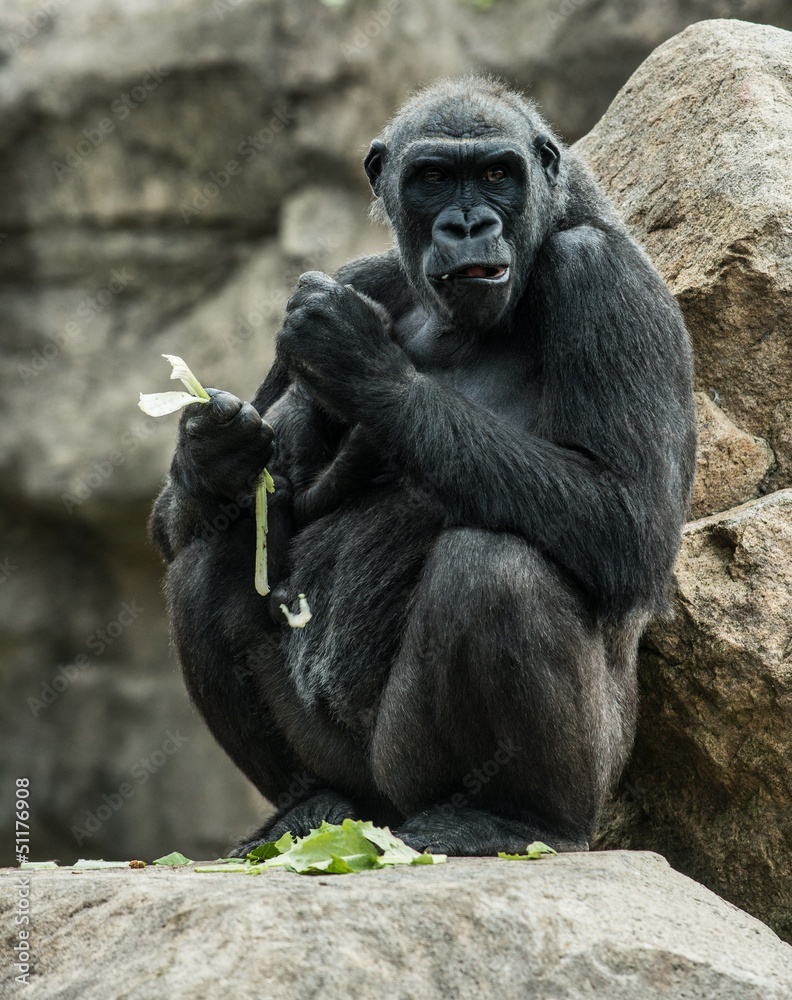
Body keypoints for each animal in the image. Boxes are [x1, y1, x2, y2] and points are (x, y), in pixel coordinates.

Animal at [148, 76, 692, 860]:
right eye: (432, 179)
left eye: (496, 174)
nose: (466, 226)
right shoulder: (364, 272)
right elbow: (190, 521)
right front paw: (212, 451)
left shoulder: (603, 274)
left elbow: (627, 519)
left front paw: (363, 363)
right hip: (360, 785)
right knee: (206, 561)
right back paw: (308, 805)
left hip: (495, 778)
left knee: (498, 571)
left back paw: (518, 820)